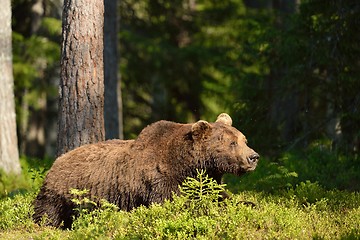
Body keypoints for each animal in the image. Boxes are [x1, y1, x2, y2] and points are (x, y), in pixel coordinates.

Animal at [33, 113, 258, 228]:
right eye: (232, 143)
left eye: (244, 139)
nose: (253, 157)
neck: (189, 165)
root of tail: (57, 160)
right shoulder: (160, 180)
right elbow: (173, 204)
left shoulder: (208, 179)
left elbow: (221, 197)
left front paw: (249, 203)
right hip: (64, 191)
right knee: (48, 212)